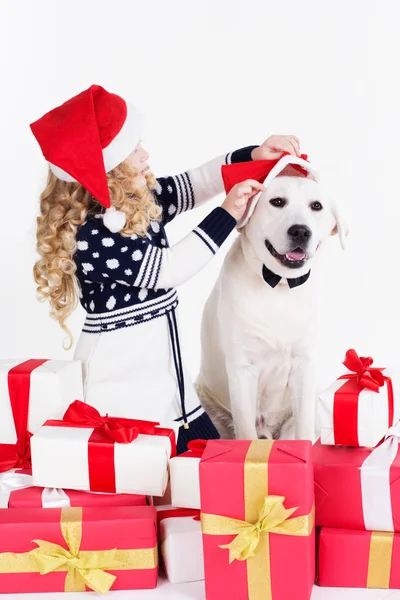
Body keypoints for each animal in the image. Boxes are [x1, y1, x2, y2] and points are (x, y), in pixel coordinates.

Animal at [197, 155, 346, 442]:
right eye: (277, 202)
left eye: (316, 206)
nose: (301, 231)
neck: (279, 286)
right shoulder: (243, 369)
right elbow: (245, 430)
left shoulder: (304, 365)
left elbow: (304, 432)